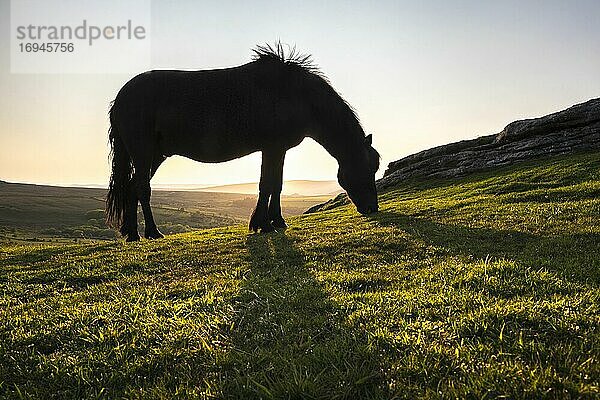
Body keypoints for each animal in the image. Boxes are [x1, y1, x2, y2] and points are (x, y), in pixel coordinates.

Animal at [106, 43, 380, 241]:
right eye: (367, 168)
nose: (372, 208)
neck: (296, 95)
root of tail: (120, 98)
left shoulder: (278, 150)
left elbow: (277, 185)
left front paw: (276, 221)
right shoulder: (271, 148)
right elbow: (266, 185)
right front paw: (262, 224)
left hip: (156, 155)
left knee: (132, 187)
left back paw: (132, 233)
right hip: (143, 152)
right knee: (142, 188)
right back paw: (152, 232)